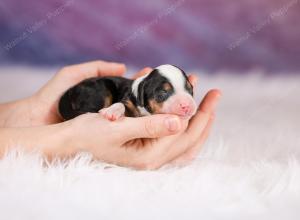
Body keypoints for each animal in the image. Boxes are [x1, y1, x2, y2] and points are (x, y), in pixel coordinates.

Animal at [59, 64, 198, 121]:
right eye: (163, 93)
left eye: (189, 89)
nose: (187, 105)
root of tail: (72, 89)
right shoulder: (128, 102)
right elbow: (120, 104)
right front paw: (112, 111)